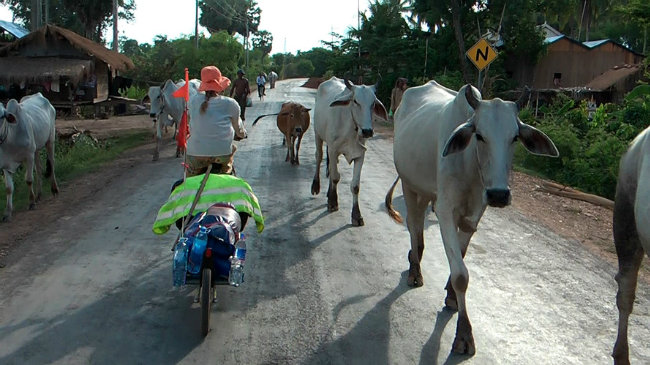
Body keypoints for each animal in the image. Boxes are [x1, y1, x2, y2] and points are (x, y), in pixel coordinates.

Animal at [0, 92, 58, 220]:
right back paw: (39, 195)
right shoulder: (6, 163)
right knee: (39, 169)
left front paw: (31, 203)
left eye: (1, 116)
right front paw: (7, 212)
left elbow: (29, 179)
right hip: (36, 150)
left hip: (50, 140)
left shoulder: (29, 156)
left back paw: (54, 189)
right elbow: (8, 188)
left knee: (52, 164)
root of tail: (39, 95)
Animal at [308, 76, 384, 225]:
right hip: (317, 134)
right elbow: (335, 177)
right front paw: (333, 202)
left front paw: (356, 215)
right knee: (319, 157)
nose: (367, 131)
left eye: (373, 103)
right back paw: (316, 186)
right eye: (355, 101)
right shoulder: (333, 150)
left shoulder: (360, 155)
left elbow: (355, 186)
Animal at [384, 81, 556, 354]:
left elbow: (461, 258)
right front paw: (464, 334)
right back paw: (415, 269)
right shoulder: (445, 210)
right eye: (479, 135)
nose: (499, 194)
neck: (471, 165)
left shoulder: (474, 214)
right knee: (414, 226)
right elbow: (461, 275)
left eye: (514, 137)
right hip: (410, 186)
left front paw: (451, 296)